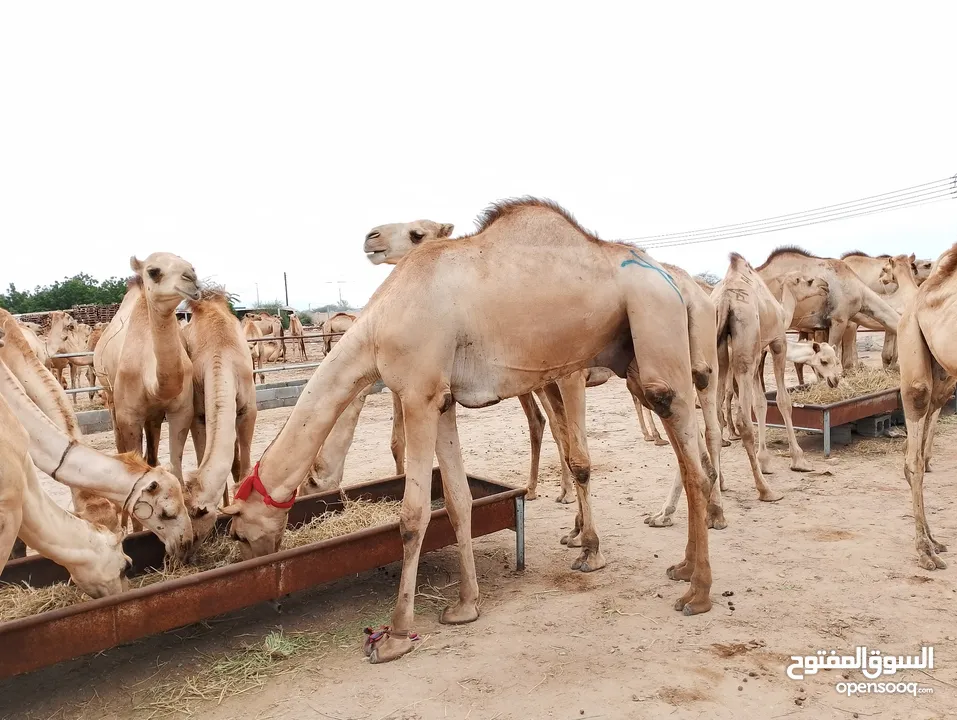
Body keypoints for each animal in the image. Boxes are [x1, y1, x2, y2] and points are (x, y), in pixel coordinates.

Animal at [93, 255, 200, 484]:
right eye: (153, 271)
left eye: (192, 267)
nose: (192, 280)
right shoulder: (128, 415)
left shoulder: (182, 409)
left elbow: (175, 467)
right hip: (110, 395)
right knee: (119, 439)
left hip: (153, 413)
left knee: (151, 450)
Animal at [224, 198, 712, 664]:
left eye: (238, 532)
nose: (262, 580)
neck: (377, 325)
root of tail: (676, 282)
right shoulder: (442, 401)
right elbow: (457, 501)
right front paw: (466, 605)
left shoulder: (418, 393)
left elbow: (414, 515)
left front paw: (395, 635)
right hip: (629, 357)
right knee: (688, 453)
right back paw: (681, 566)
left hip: (654, 334)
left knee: (689, 449)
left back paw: (697, 592)